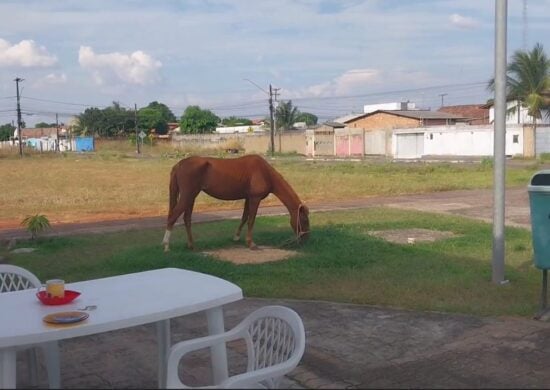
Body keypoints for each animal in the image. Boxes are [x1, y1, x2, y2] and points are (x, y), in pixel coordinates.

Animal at [163, 154, 310, 251]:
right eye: (304, 220)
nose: (306, 238)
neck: (264, 172)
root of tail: (179, 164)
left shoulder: (248, 198)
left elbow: (244, 217)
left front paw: (236, 237)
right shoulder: (255, 199)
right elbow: (251, 220)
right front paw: (251, 244)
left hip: (191, 197)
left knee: (187, 219)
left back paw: (191, 245)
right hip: (187, 196)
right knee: (173, 217)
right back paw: (166, 246)